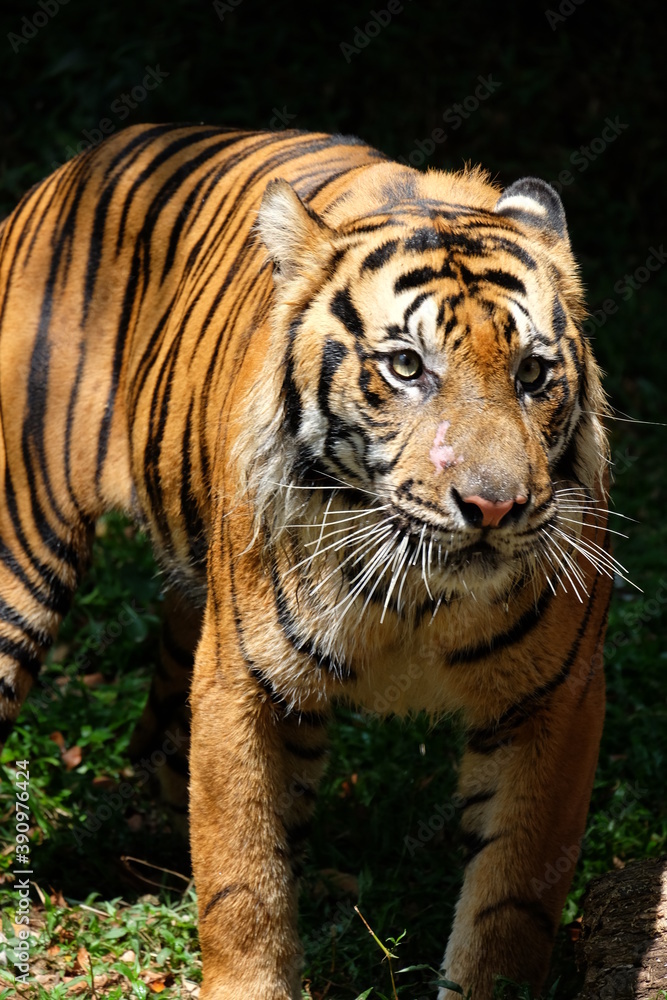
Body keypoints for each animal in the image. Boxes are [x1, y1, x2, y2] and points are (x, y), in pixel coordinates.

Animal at [0, 123, 615, 999]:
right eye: (405, 366)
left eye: (532, 373)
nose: (493, 507)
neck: (416, 592)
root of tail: (83, 161)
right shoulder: (242, 680)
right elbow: (243, 876)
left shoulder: (552, 697)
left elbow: (511, 897)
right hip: (22, 559)